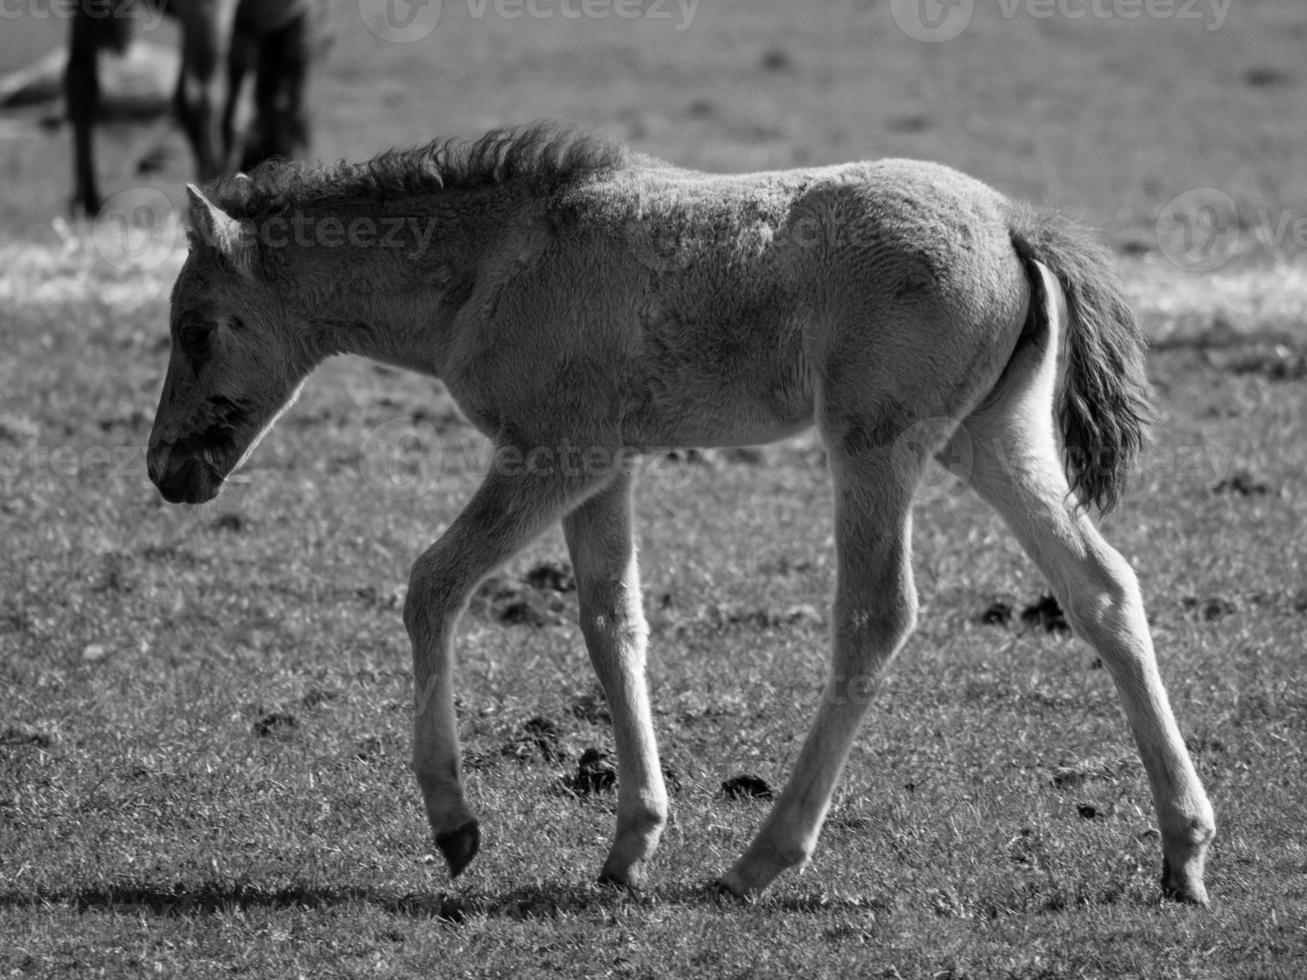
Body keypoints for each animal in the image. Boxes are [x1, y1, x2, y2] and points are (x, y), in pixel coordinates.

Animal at [63, 0, 329, 214]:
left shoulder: (248, 29)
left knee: (80, 79)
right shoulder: (301, 22)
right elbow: (294, 105)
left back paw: (86, 199)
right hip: (209, 11)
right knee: (199, 96)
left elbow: (237, 111)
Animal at [148, 126, 1218, 909]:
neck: (494, 263)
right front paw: (629, 845)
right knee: (1101, 589)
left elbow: (433, 585)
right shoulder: (604, 468)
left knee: (877, 616)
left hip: (875, 447)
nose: (165, 470)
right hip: (993, 439)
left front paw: (455, 823)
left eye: (195, 329)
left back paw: (758, 861)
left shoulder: (551, 453)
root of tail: (1010, 221)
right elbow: (610, 624)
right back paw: (1184, 852)